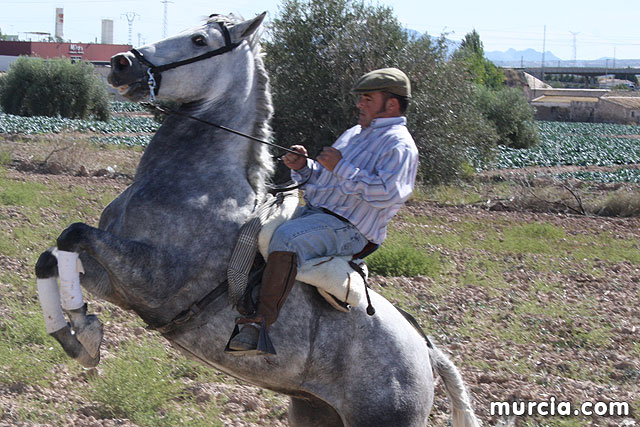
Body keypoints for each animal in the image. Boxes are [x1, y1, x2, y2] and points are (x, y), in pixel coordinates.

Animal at [31, 11, 480, 426]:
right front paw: (72, 335)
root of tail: (428, 353)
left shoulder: (154, 279)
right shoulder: (115, 281)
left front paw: (86, 334)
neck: (195, 184)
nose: (121, 63)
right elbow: (51, 258)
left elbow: (73, 234)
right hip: (314, 411)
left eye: (199, 40)